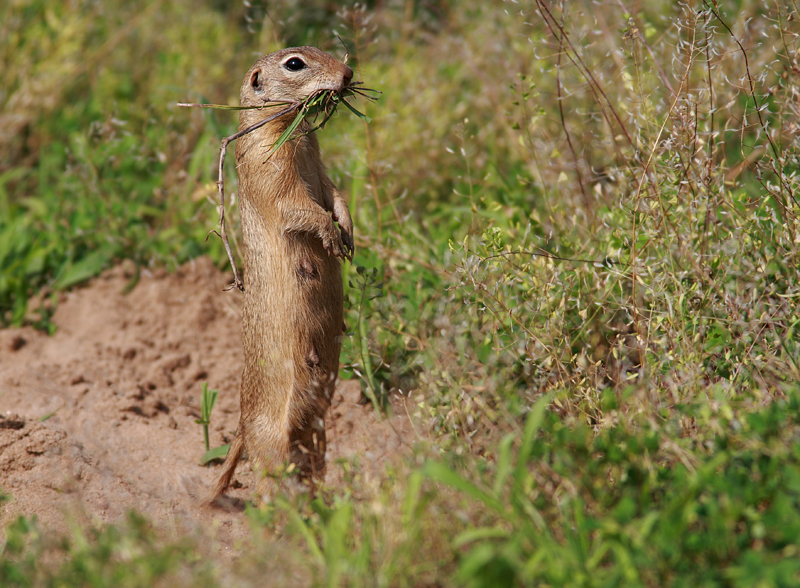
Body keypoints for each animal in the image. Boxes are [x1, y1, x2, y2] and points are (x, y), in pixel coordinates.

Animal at [209, 47, 354, 506]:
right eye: (294, 63)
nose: (348, 74)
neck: (294, 130)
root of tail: (239, 427)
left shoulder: (319, 160)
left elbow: (335, 193)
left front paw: (349, 235)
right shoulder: (269, 164)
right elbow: (300, 206)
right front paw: (331, 237)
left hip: (315, 435)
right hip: (272, 443)